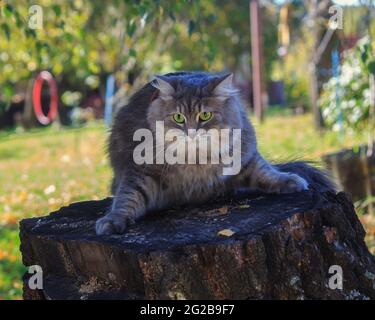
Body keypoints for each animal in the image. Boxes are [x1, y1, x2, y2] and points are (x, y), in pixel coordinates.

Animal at [97, 72, 334, 235]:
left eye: (205, 115)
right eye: (178, 118)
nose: (192, 132)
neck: (196, 161)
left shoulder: (246, 157)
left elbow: (267, 173)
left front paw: (290, 180)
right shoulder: (141, 172)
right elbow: (127, 198)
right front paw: (112, 220)